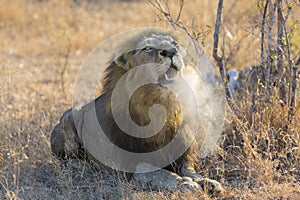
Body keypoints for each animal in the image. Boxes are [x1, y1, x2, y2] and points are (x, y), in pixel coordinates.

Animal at [50, 28, 224, 195]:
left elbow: (190, 170)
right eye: (147, 48)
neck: (162, 107)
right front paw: (186, 184)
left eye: (175, 44)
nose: (171, 52)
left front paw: (208, 182)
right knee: (66, 160)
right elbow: (163, 174)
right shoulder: (133, 165)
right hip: (70, 121)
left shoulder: (183, 152)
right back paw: (83, 166)